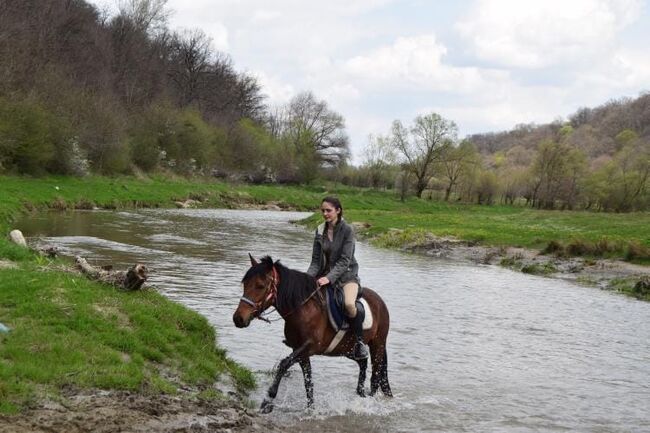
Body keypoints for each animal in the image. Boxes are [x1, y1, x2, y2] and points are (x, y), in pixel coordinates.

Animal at [232, 253, 390, 412]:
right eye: (245, 284)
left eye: (260, 286)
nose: (238, 319)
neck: (304, 309)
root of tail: (380, 302)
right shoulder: (300, 351)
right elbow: (308, 382)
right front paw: (311, 409)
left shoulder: (309, 347)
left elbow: (283, 364)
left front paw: (268, 400)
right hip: (347, 349)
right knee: (363, 362)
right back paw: (360, 393)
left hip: (377, 345)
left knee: (375, 377)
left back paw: (368, 402)